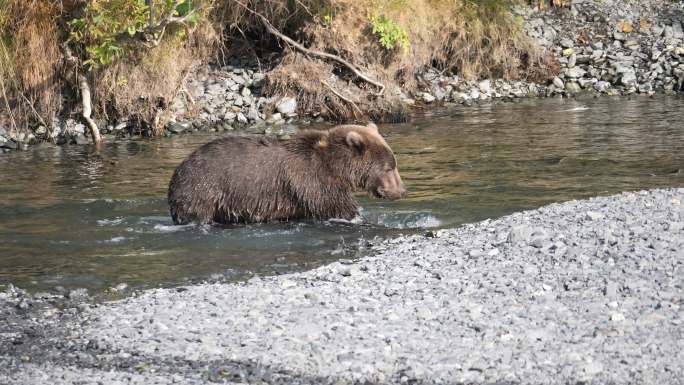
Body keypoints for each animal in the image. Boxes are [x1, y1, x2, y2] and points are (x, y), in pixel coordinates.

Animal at [167, 123, 406, 224]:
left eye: (394, 165)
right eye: (388, 168)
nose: (402, 190)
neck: (336, 167)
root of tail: (178, 169)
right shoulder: (314, 181)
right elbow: (338, 207)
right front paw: (358, 215)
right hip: (203, 189)